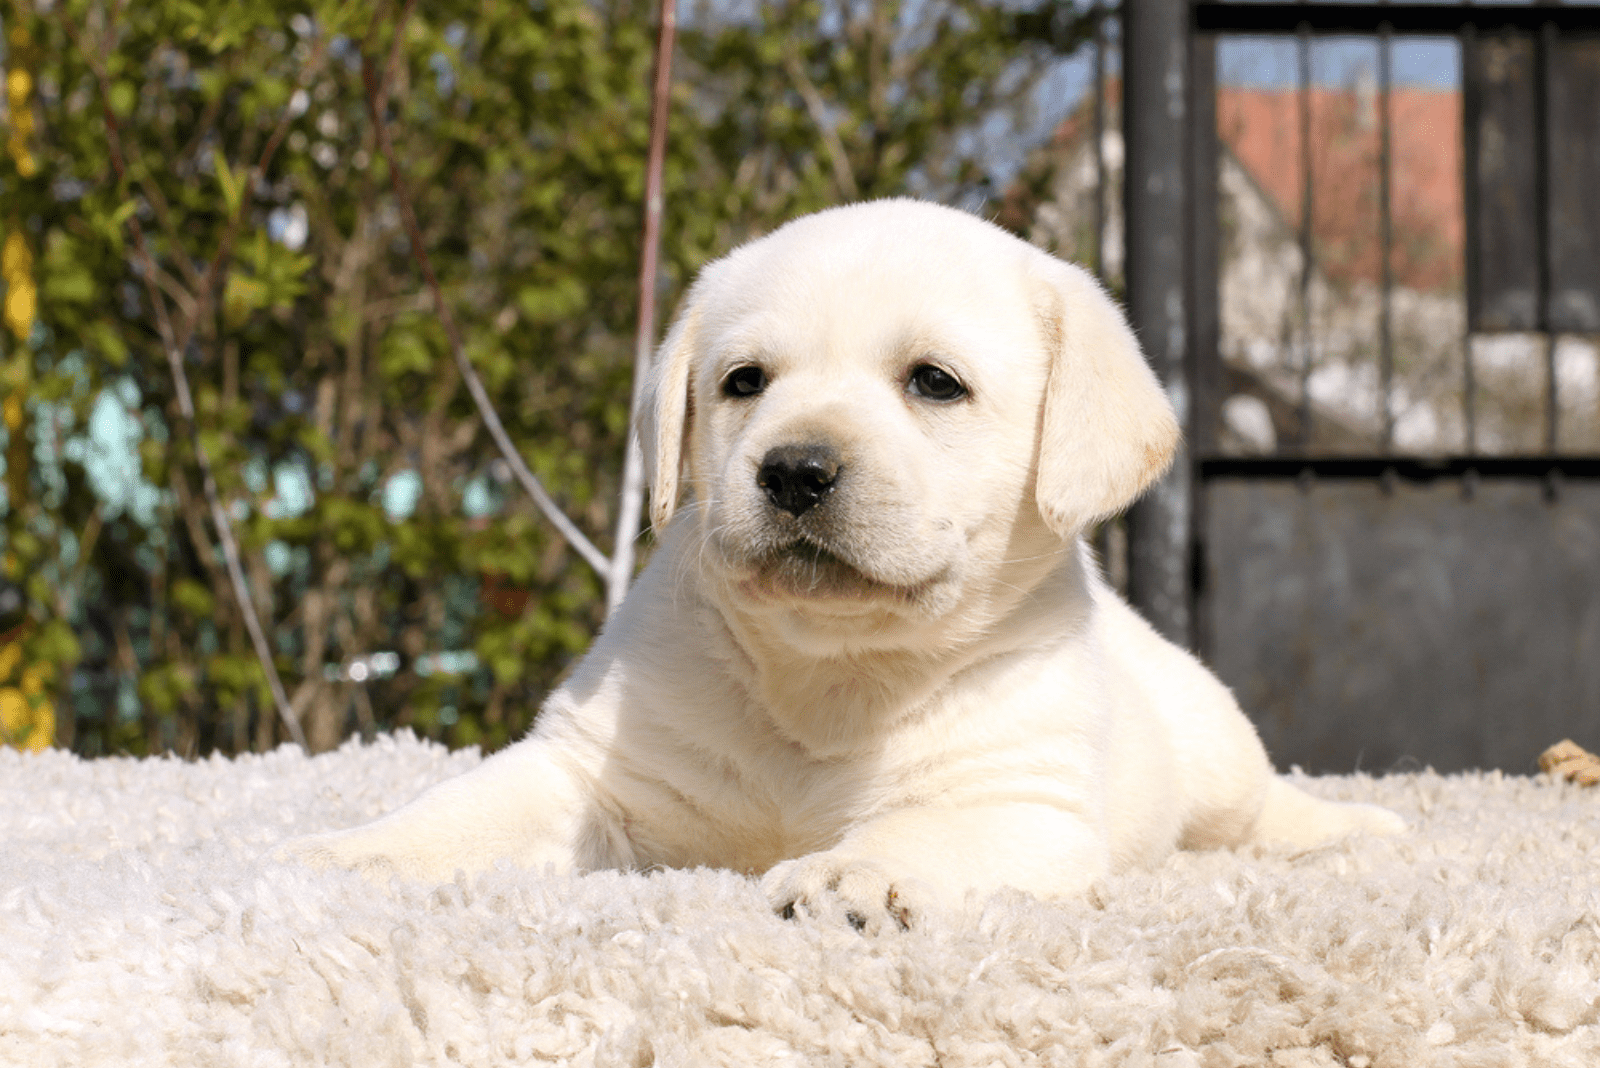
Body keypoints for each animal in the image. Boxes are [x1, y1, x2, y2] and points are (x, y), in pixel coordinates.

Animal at [284, 198, 1401, 927]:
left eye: (935, 383)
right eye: (744, 382)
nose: (794, 469)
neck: (833, 673)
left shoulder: (1016, 806)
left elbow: (919, 831)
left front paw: (847, 877)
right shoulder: (592, 771)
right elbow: (467, 810)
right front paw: (356, 852)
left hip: (1210, 742)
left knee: (1262, 809)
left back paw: (1356, 830)